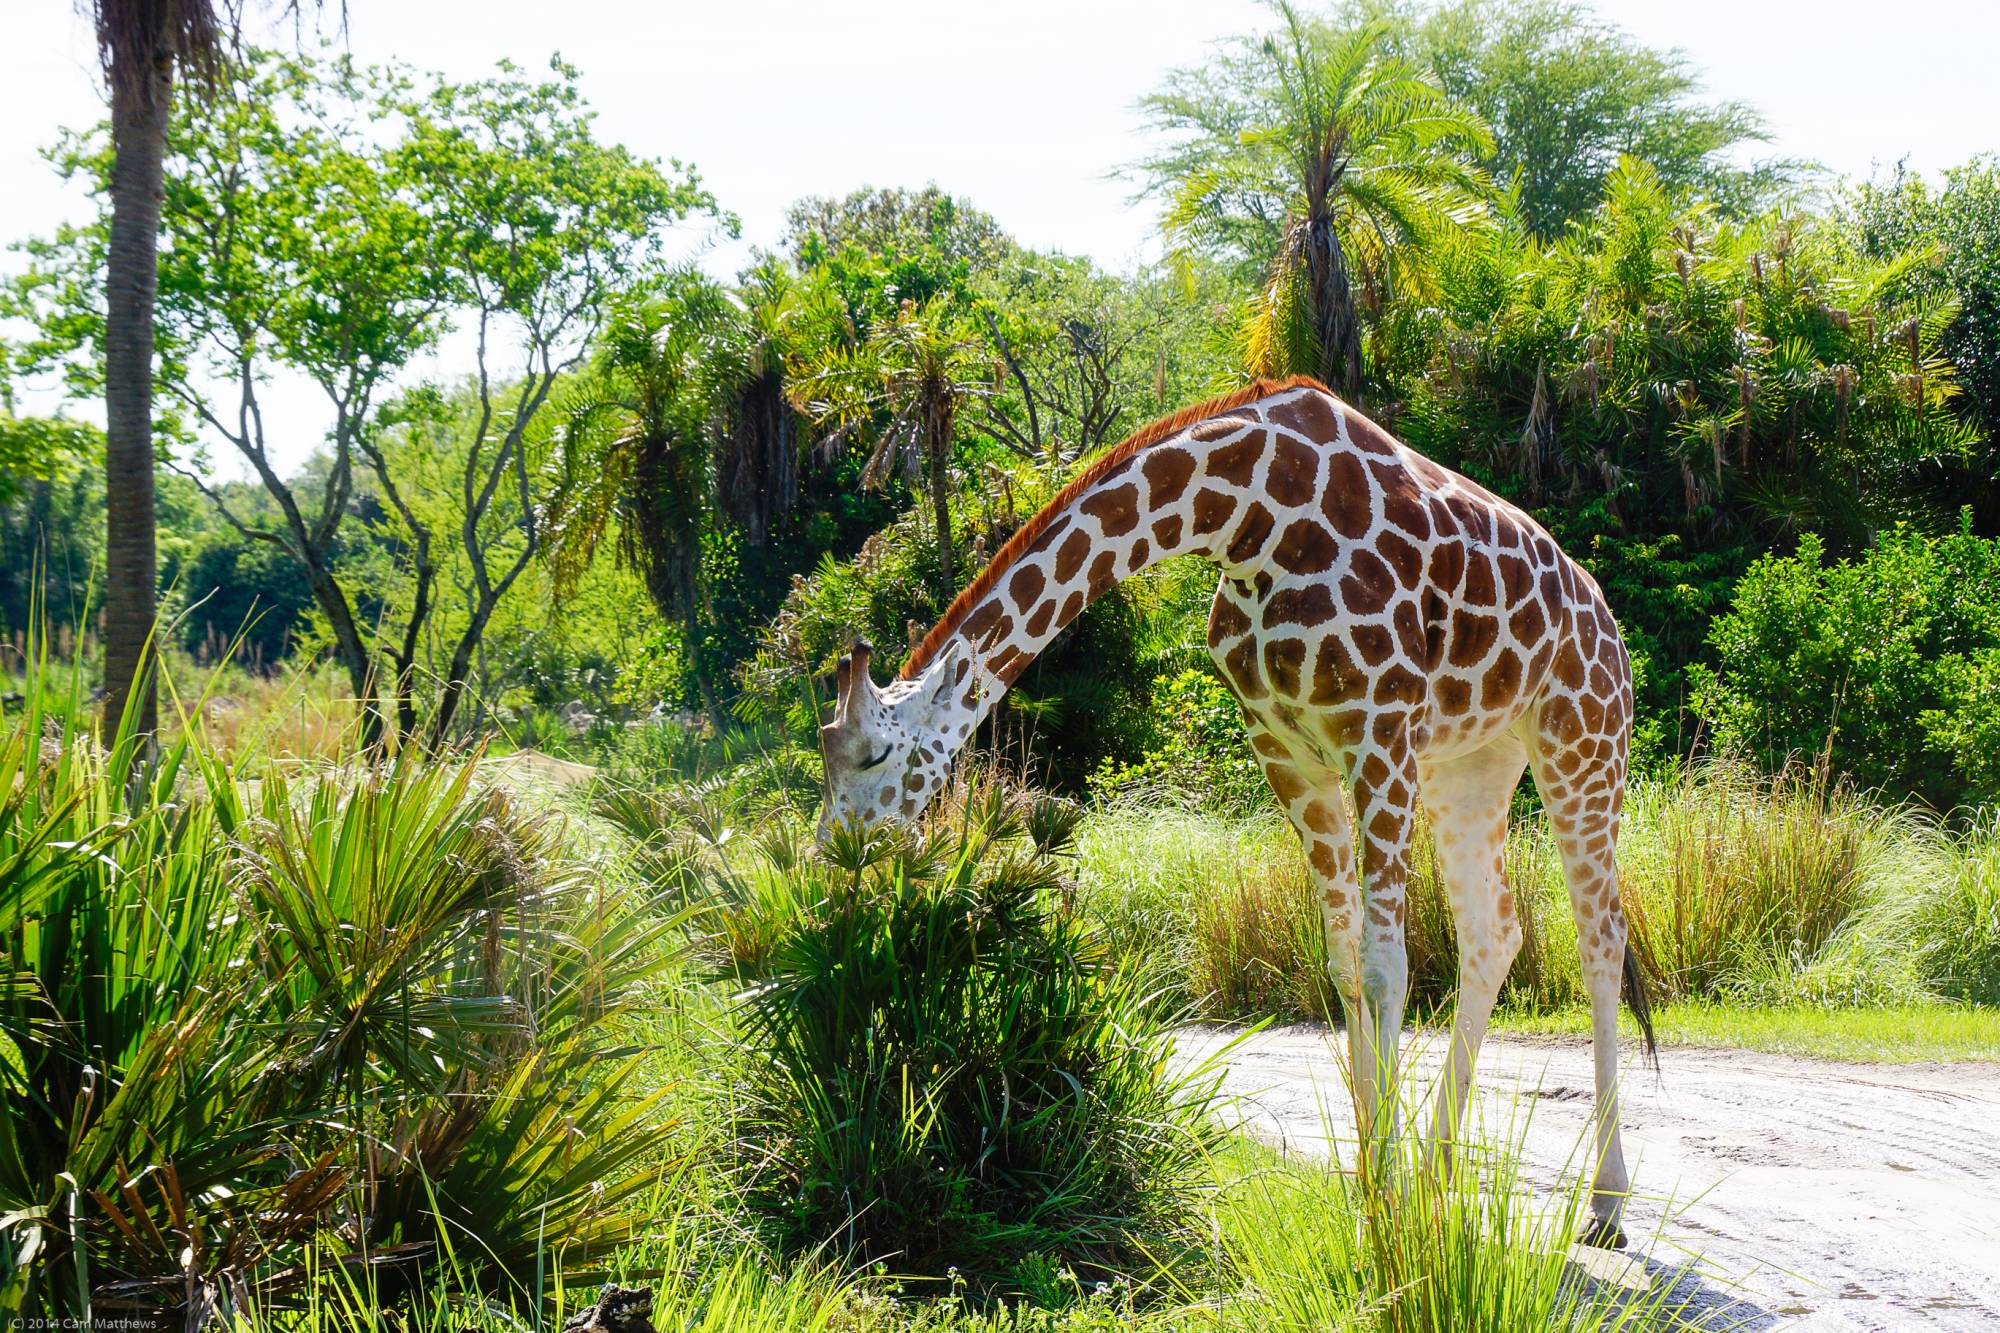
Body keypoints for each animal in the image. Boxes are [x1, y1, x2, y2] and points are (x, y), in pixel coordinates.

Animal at [816, 370, 1656, 1232]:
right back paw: (1437, 1172)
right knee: (1494, 931)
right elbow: (1343, 960)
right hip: (1474, 763)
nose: (829, 866)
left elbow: (1387, 964)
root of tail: (1609, 621)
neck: (1246, 517)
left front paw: (1387, 1206)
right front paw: (1371, 1182)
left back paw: (1605, 1202)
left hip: (1583, 741)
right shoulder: (1286, 749)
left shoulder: (1380, 728)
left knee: (1601, 936)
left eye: (874, 754)